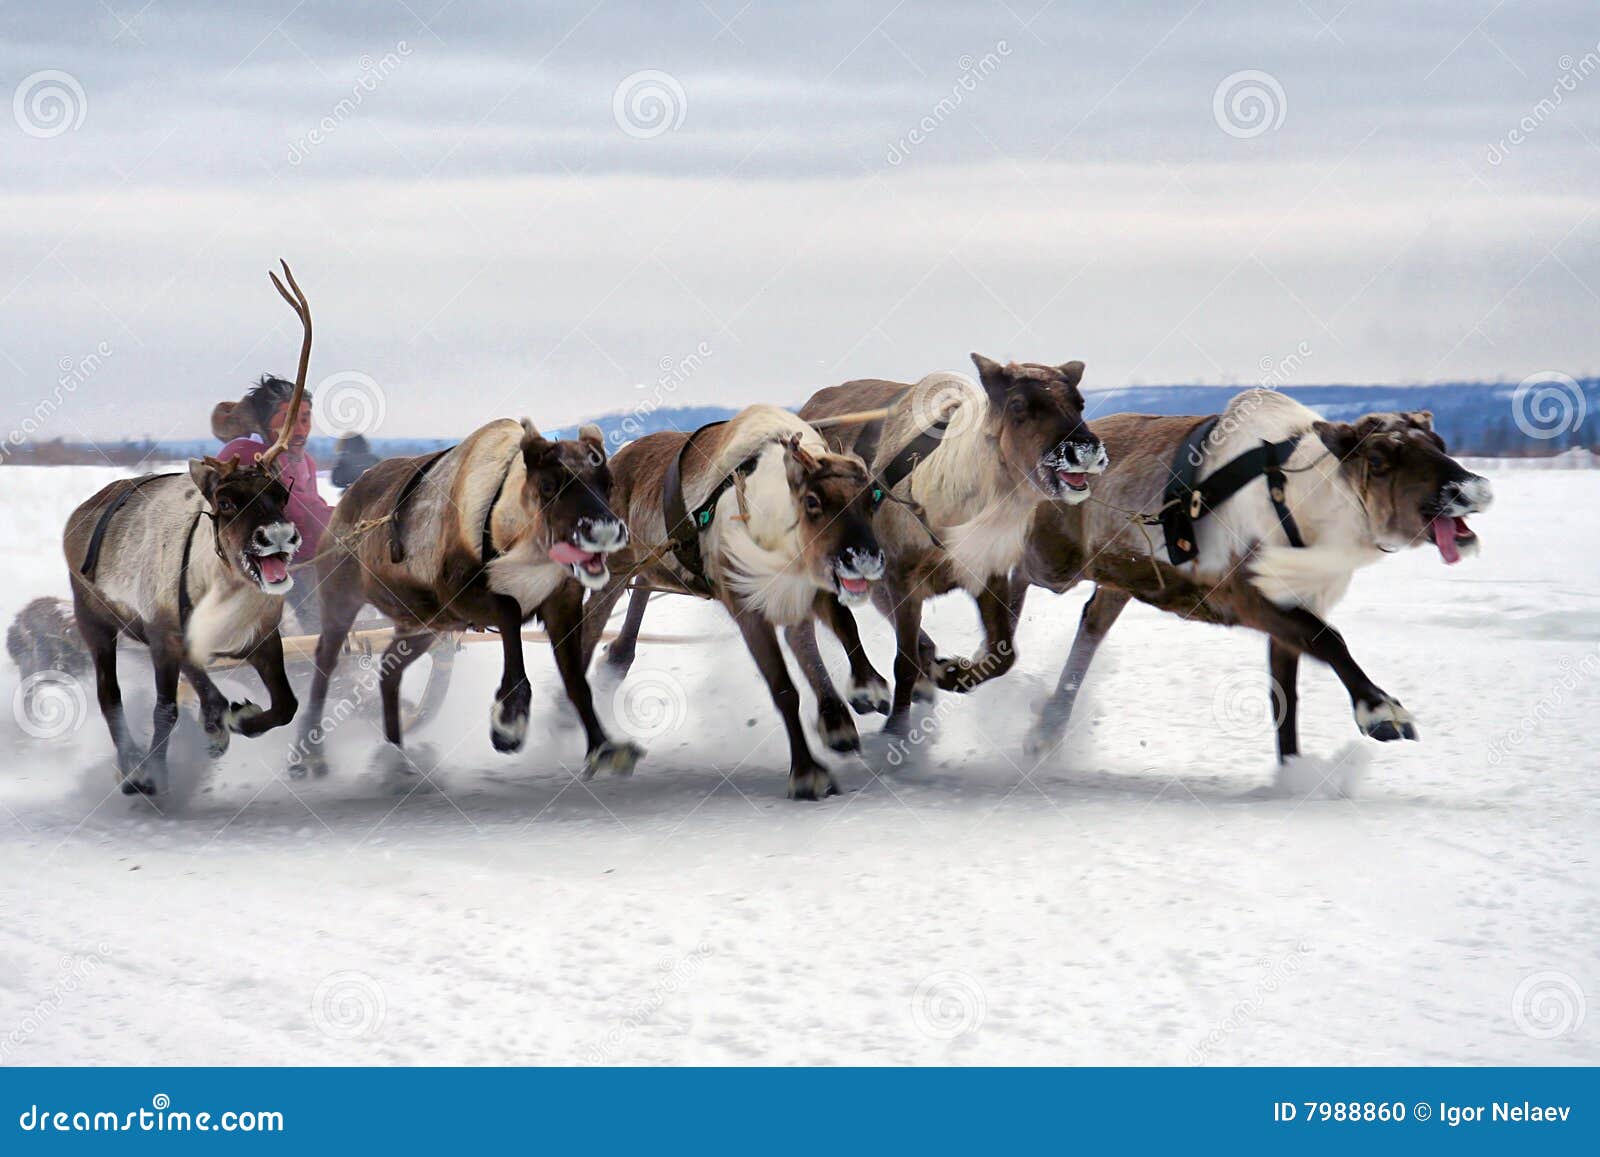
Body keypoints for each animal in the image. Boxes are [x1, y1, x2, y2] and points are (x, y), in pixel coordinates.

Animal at [62, 262, 313, 795]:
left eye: (280, 491)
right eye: (226, 501)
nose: (279, 536)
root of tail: (81, 513)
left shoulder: (263, 638)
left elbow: (286, 705)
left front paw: (240, 719)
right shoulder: (164, 636)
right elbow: (167, 708)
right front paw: (155, 771)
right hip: (94, 621)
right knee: (110, 695)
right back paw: (133, 766)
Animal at [298, 416, 641, 779]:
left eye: (608, 482)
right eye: (548, 484)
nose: (605, 531)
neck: (513, 535)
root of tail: (348, 497)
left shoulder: (562, 603)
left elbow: (576, 681)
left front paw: (605, 748)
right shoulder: (462, 598)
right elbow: (510, 611)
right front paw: (508, 720)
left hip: (423, 625)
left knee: (389, 669)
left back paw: (396, 754)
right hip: (341, 598)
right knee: (325, 660)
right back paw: (310, 755)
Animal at [581, 405, 886, 800]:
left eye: (872, 497)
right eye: (812, 501)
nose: (864, 559)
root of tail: (616, 460)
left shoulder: (811, 585)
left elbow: (846, 628)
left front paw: (869, 689)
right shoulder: (747, 605)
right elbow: (783, 688)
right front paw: (807, 774)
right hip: (614, 570)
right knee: (589, 624)